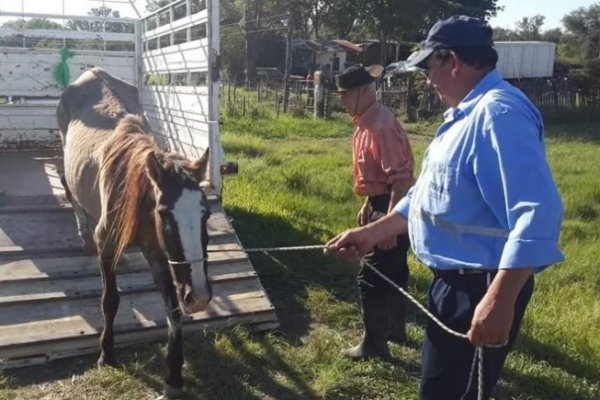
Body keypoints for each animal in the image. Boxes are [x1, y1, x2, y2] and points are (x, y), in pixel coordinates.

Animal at [56, 67, 211, 398]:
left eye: (206, 213)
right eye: (165, 214)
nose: (200, 296)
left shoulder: (157, 253)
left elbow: (173, 309)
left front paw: (173, 375)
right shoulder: (107, 244)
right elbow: (110, 300)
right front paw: (107, 353)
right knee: (71, 194)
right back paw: (82, 231)